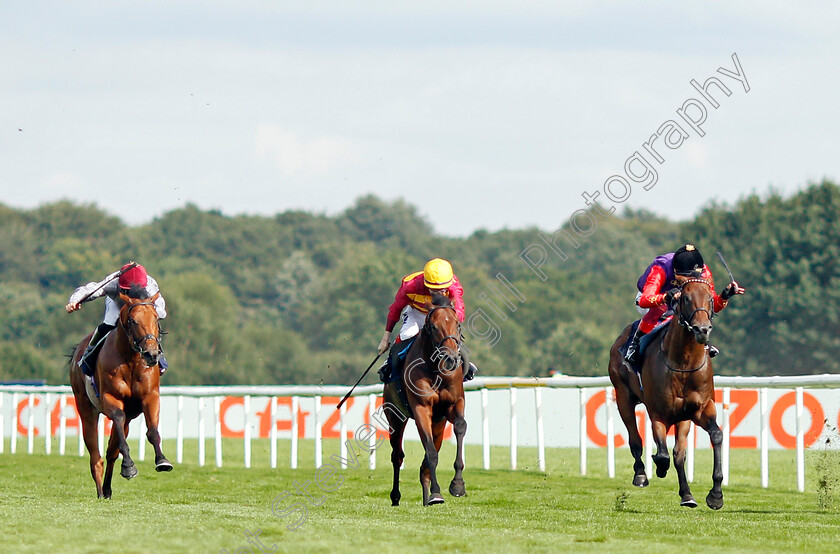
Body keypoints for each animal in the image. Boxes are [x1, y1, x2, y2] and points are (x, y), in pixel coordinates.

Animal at [69, 288, 174, 496]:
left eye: (156, 318)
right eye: (133, 320)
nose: (151, 354)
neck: (131, 360)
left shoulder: (150, 397)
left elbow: (152, 431)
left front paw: (162, 460)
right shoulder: (111, 398)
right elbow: (117, 418)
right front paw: (129, 466)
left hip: (130, 416)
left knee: (111, 451)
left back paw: (108, 489)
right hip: (85, 407)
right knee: (95, 455)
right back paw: (101, 491)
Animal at [384, 294, 470, 504]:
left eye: (457, 324)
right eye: (433, 327)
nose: (450, 358)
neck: (435, 369)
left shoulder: (454, 404)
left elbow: (460, 427)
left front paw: (457, 485)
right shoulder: (421, 408)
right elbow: (430, 453)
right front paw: (437, 492)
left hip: (438, 422)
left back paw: (425, 497)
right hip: (394, 417)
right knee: (397, 456)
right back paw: (396, 496)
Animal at [612, 274, 720, 506]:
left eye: (710, 298)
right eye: (686, 298)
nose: (702, 330)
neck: (683, 362)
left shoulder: (697, 410)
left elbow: (714, 436)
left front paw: (715, 494)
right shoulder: (658, 413)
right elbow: (662, 454)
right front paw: (659, 468)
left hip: (682, 417)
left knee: (678, 453)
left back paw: (687, 494)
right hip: (623, 396)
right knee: (635, 439)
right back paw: (641, 474)